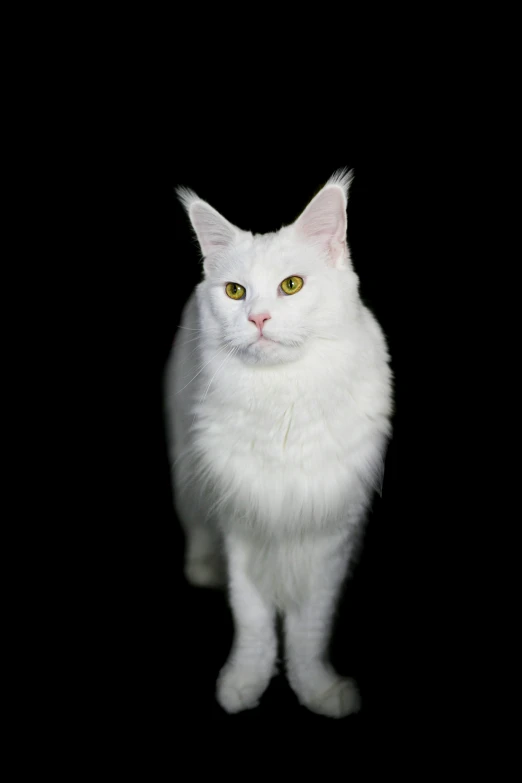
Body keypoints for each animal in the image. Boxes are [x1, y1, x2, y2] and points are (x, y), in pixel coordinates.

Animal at [164, 170, 390, 716]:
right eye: (234, 291)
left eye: (292, 286)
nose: (258, 319)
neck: (281, 398)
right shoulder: (242, 524)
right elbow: (253, 622)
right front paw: (243, 683)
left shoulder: (331, 533)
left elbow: (310, 630)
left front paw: (319, 690)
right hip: (187, 468)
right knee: (195, 524)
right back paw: (203, 568)